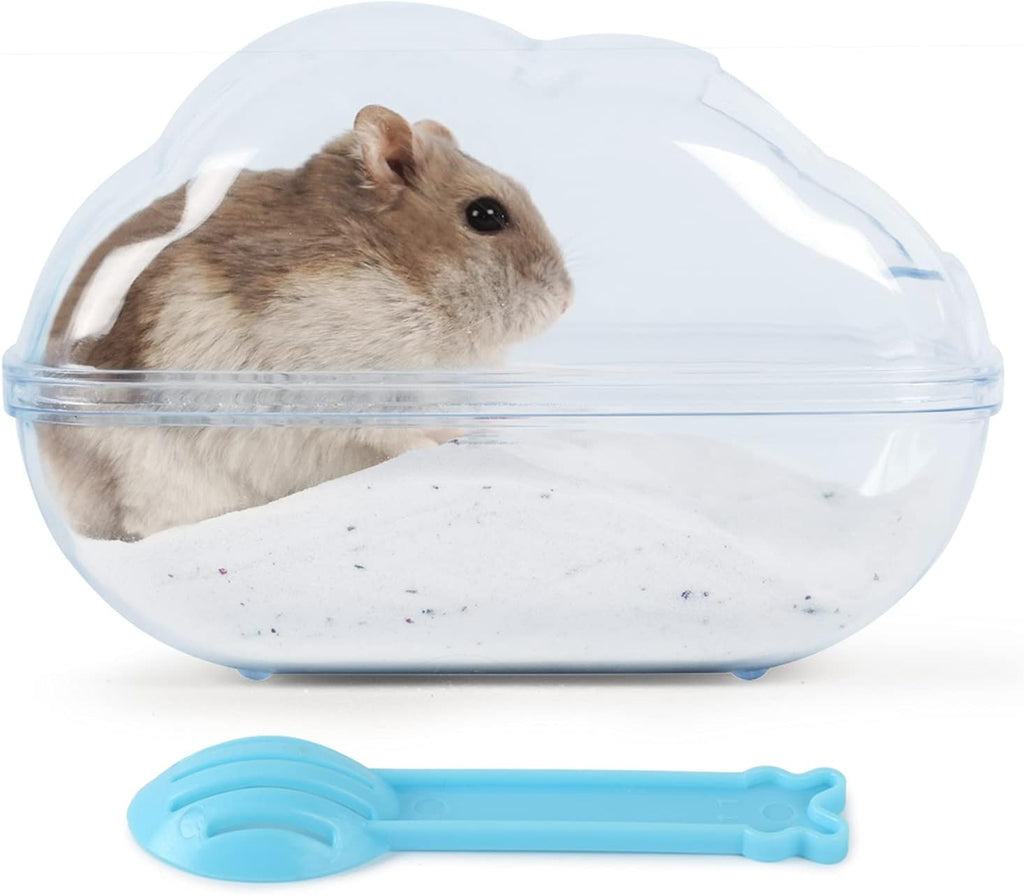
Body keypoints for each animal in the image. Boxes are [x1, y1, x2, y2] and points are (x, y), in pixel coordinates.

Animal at [39, 105, 573, 540]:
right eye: (485, 214)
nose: (567, 300)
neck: (409, 284)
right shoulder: (345, 385)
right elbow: (392, 431)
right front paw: (444, 442)